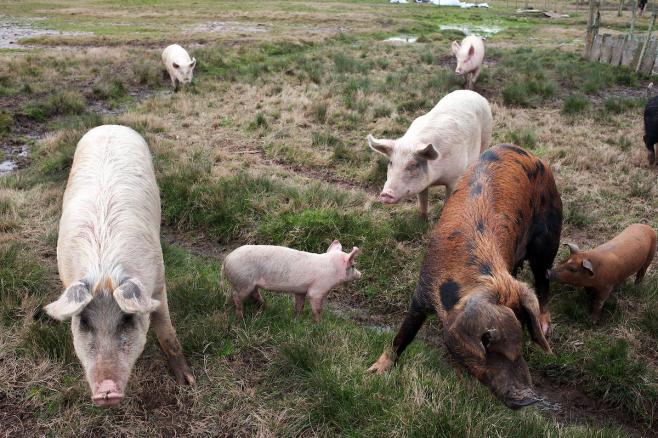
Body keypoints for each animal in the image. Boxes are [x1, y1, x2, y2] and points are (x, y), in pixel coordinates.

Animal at [43, 124, 192, 408]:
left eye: (127, 318)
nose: (106, 391)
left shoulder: (158, 282)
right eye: (84, 322)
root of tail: (109, 126)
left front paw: (189, 382)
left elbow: (166, 331)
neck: (105, 272)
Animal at [223, 240, 362, 322]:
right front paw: (319, 324)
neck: (332, 269)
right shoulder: (317, 289)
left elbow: (299, 306)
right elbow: (317, 308)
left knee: (252, 294)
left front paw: (297, 320)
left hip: (248, 283)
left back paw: (265, 306)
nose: (360, 274)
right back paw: (240, 318)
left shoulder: (300, 291)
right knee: (236, 296)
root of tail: (227, 259)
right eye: (353, 266)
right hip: (242, 282)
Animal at [366, 89, 490, 219]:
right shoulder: (423, 185)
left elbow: (448, 200)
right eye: (391, 162)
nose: (386, 194)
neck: (436, 179)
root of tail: (471, 92)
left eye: (413, 165)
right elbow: (423, 201)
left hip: (486, 135)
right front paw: (423, 219)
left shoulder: (454, 177)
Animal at [366, 145, 560, 408]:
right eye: (486, 341)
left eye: (521, 336)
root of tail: (530, 154)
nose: (528, 398)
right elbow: (403, 335)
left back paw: (545, 327)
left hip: (549, 238)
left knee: (543, 280)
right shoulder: (422, 291)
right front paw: (373, 371)